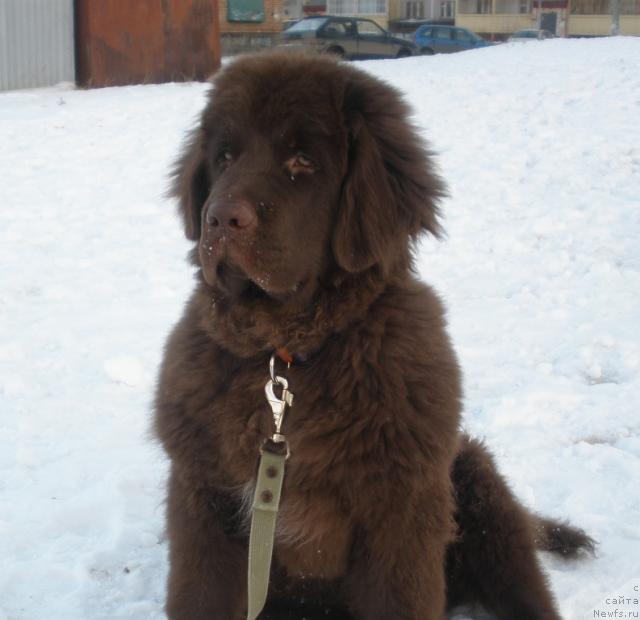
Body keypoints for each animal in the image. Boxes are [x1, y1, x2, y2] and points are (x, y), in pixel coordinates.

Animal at [154, 54, 592, 620]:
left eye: (302, 160)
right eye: (225, 157)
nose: (220, 218)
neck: (288, 356)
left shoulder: (399, 517)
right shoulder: (205, 505)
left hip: (480, 492)